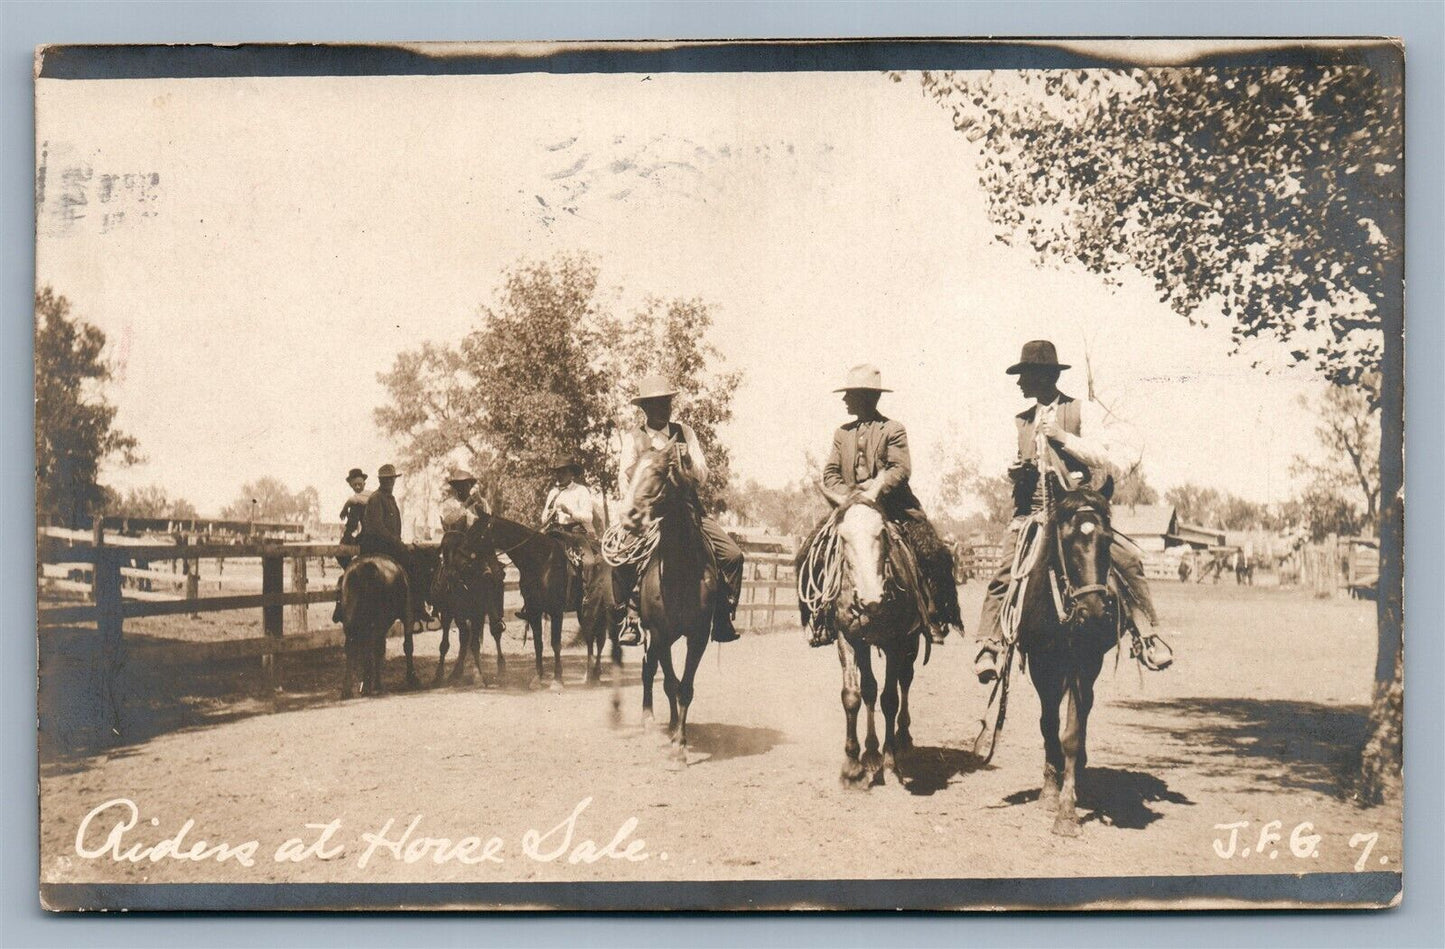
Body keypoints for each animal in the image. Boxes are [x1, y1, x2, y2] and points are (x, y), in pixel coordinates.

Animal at [333, 554, 413, 696]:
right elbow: (405, 645)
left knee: (353, 648)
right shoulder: (406, 613)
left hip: (353, 623)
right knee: (372, 647)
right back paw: (367, 685)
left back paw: (349, 690)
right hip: (380, 622)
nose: (335, 616)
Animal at [465, 511, 618, 687]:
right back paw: (590, 675)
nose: (462, 554)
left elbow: (556, 644)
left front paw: (557, 680)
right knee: (592, 638)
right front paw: (537, 678)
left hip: (595, 609)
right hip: (585, 611)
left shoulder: (556, 611)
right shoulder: (534, 611)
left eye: (477, 532)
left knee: (597, 639)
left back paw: (593, 675)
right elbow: (538, 643)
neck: (540, 561)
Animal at [615, 447, 716, 768]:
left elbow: (685, 688)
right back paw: (648, 718)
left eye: (658, 473)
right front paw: (676, 743)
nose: (628, 517)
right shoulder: (659, 632)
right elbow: (670, 684)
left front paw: (679, 742)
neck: (682, 570)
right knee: (648, 670)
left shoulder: (698, 635)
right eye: (631, 471)